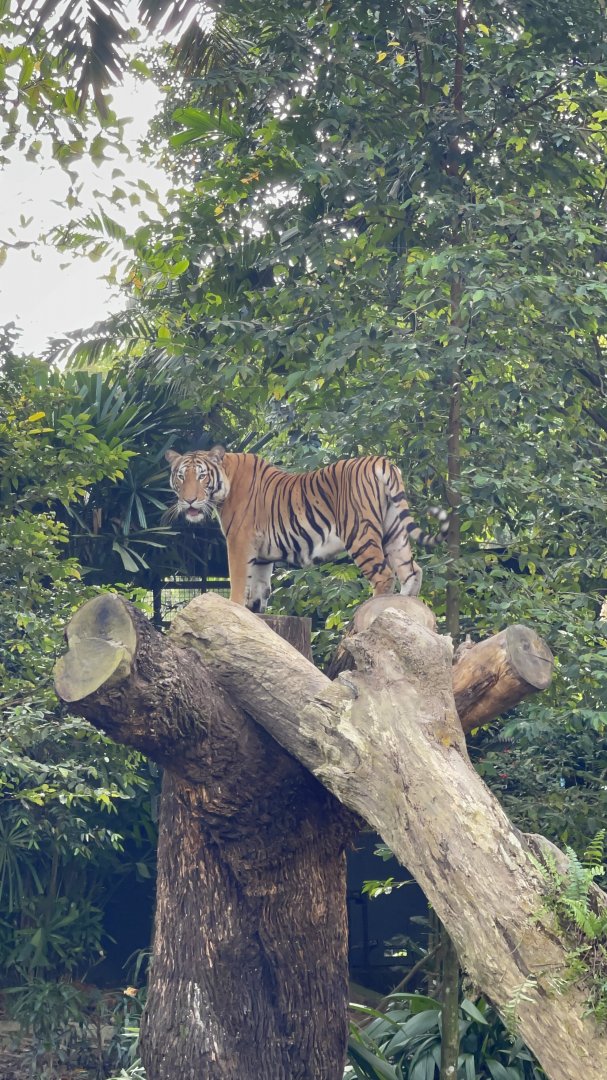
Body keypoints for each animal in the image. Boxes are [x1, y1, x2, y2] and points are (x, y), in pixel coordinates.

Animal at [166, 446, 449, 612]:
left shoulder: (239, 542)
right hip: (394, 530)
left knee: (384, 576)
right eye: (181, 476)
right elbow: (259, 590)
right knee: (412, 571)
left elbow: (237, 583)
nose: (189, 501)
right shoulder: (261, 555)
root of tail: (382, 461)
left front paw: (233, 609)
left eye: (201, 476)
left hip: (360, 534)